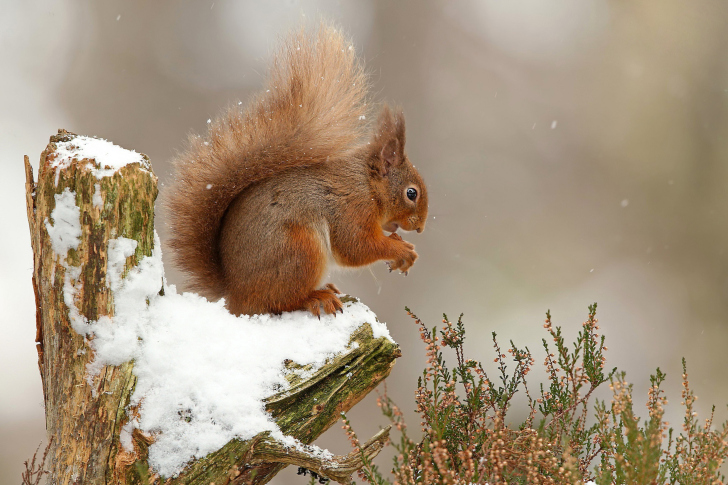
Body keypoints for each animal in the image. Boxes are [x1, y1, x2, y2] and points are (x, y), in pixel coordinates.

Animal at [165, 26, 426, 316]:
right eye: (411, 193)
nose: (420, 228)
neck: (366, 184)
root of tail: (236, 296)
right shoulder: (351, 208)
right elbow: (356, 246)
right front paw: (401, 249)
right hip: (300, 249)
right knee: (281, 301)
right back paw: (316, 297)